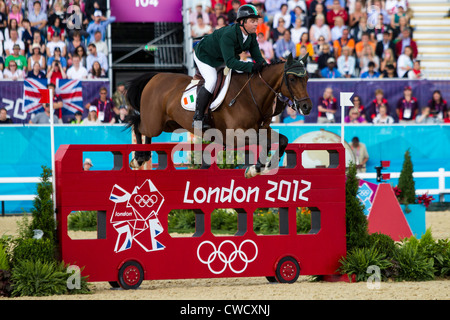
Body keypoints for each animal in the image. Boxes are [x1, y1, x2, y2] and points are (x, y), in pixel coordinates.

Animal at [125, 52, 312, 178]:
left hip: (170, 124)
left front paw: (262, 167)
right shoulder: (235, 136)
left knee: (143, 129)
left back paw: (142, 157)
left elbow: (282, 140)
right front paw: (256, 168)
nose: (307, 107)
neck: (252, 95)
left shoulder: (261, 129)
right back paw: (139, 158)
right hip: (155, 123)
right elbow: (264, 143)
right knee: (139, 126)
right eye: (292, 79)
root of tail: (155, 77)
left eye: (307, 78)